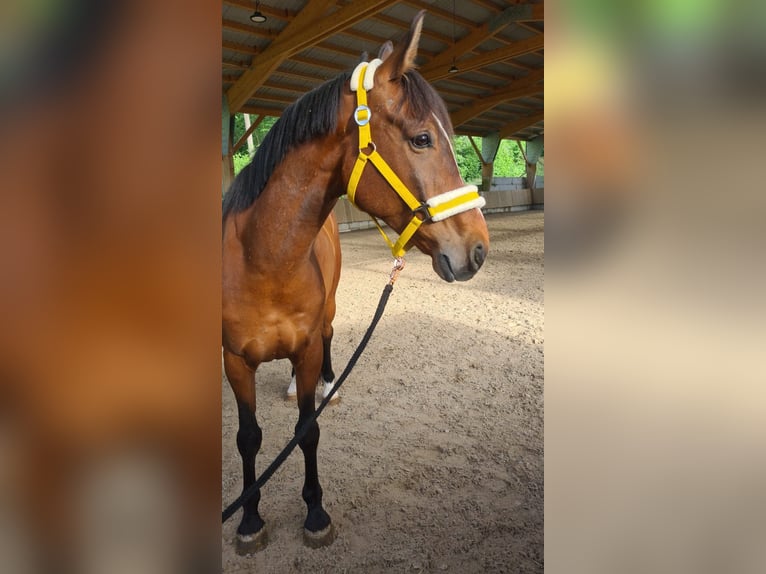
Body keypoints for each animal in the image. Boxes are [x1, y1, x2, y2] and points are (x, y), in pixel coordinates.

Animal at [222, 11, 489, 554]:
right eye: (422, 139)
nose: (478, 247)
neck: (262, 260)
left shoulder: (304, 348)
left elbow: (306, 431)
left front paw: (315, 513)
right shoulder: (234, 362)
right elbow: (249, 437)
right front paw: (249, 520)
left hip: (328, 314)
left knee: (327, 338)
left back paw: (327, 383)